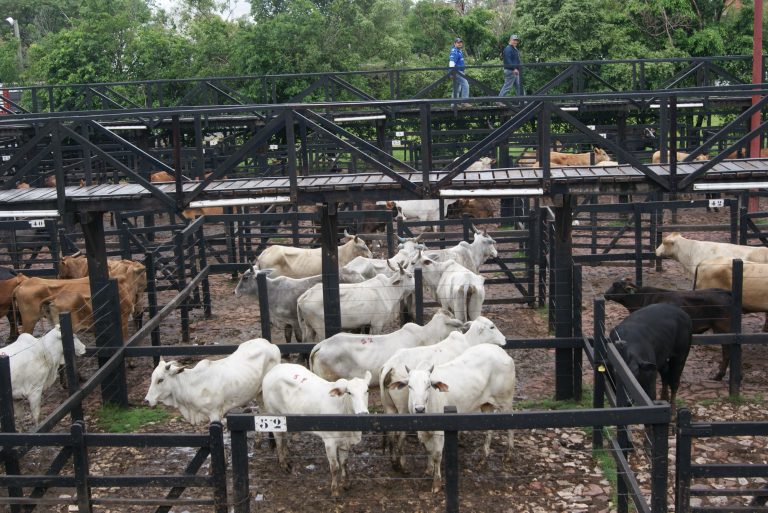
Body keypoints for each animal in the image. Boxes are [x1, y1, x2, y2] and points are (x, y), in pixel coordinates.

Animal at [143, 336, 280, 424]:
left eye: (160, 380)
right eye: (152, 378)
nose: (147, 400)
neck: (191, 385)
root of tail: (269, 344)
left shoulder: (215, 414)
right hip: (259, 393)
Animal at [262, 360, 374, 496]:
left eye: (367, 390)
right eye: (349, 392)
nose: (363, 413)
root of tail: (273, 370)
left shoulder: (345, 442)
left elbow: (344, 463)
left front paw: (346, 484)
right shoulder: (330, 442)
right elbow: (335, 467)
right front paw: (335, 491)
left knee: (283, 438)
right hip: (274, 416)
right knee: (278, 439)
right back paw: (284, 464)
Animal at [376, 316, 504, 472]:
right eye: (492, 327)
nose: (504, 340)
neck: (469, 342)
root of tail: (389, 366)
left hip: (389, 406)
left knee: (391, 433)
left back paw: (394, 462)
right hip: (403, 408)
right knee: (400, 435)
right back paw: (402, 464)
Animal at [390, 344, 516, 492]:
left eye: (428, 385)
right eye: (410, 386)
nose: (419, 409)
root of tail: (501, 351)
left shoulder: (440, 432)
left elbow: (437, 454)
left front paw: (436, 483)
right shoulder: (422, 431)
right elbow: (428, 450)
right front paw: (428, 469)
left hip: (506, 401)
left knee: (510, 427)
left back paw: (509, 455)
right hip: (486, 405)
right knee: (489, 429)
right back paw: (483, 458)